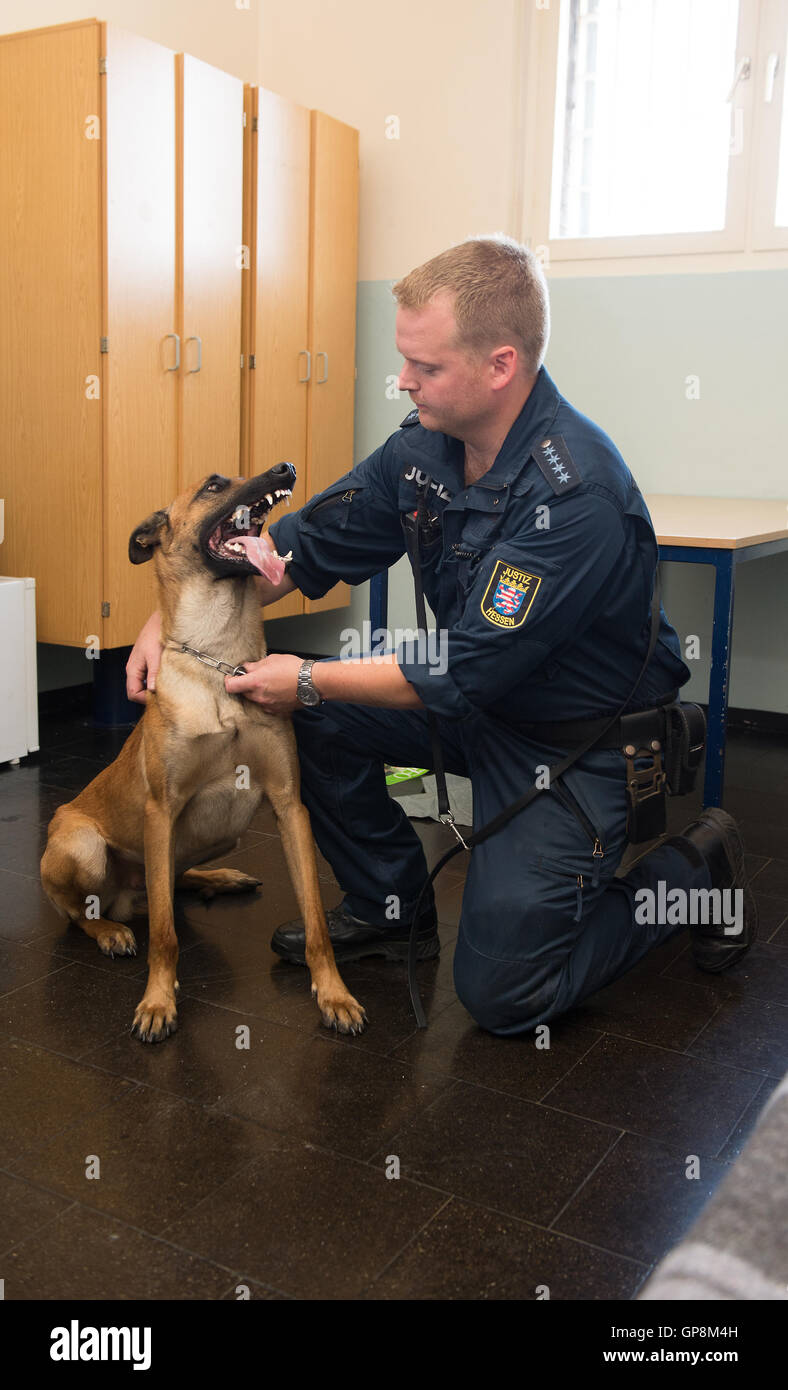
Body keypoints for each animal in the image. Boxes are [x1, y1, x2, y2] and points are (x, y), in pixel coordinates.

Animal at [39, 467, 366, 1045]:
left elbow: (316, 923)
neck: (220, 661)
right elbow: (165, 936)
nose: (285, 469)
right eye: (214, 484)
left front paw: (334, 994)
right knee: (88, 911)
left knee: (169, 880)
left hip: (217, 834)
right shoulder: (160, 811)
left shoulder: (290, 806)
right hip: (81, 846)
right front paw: (157, 1002)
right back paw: (111, 930)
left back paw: (220, 878)